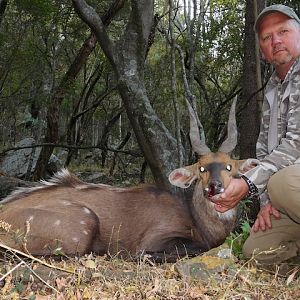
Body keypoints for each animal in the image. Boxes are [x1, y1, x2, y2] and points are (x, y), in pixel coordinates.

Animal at [0, 98, 255, 260]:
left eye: (230, 167)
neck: (198, 222)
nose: (215, 187)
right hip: (83, 223)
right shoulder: (156, 238)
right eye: (202, 169)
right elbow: (190, 248)